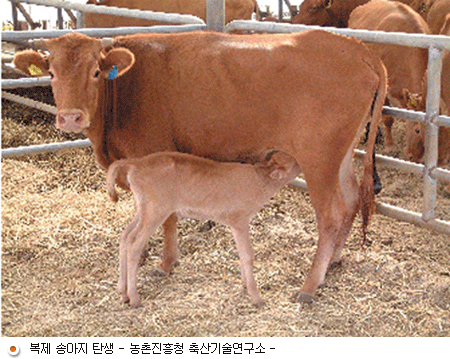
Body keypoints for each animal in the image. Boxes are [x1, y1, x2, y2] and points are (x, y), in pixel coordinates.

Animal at [107, 150, 300, 308]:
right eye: (295, 164)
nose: (302, 167)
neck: (258, 181)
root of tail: (137, 162)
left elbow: (241, 254)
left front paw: (246, 285)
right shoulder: (239, 220)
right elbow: (247, 255)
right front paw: (256, 297)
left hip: (143, 210)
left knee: (125, 236)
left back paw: (123, 293)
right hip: (156, 211)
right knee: (134, 244)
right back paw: (134, 298)